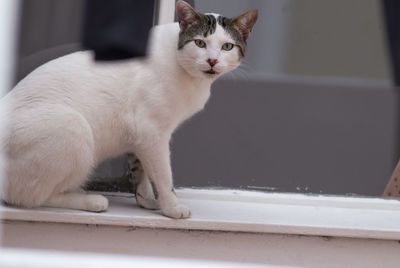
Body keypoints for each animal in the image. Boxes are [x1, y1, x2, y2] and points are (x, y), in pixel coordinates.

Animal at [0, 1, 258, 218]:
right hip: (74, 128)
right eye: (200, 43)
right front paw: (171, 207)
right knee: (29, 198)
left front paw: (147, 200)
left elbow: (140, 169)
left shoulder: (140, 135)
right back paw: (91, 200)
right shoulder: (152, 131)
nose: (212, 61)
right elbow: (163, 175)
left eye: (227, 46)